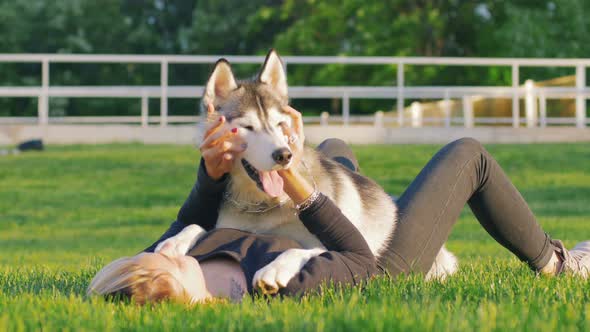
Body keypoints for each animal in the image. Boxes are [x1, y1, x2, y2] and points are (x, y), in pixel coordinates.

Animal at [160, 49, 460, 294]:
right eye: (247, 127)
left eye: (280, 124)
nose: (284, 155)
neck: (262, 206)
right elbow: (199, 225)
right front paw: (176, 240)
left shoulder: (341, 248)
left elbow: (302, 249)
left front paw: (274, 269)